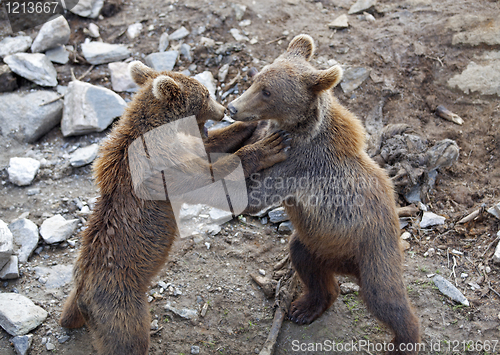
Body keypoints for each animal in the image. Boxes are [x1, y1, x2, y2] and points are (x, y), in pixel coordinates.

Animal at [61, 62, 290, 355]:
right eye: (206, 94)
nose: (223, 109)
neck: (163, 129)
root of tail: (85, 298)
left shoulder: (183, 146)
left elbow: (211, 145)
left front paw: (252, 123)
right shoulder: (163, 162)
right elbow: (207, 176)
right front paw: (269, 146)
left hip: (81, 292)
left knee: (68, 312)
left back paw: (68, 319)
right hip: (120, 308)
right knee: (129, 338)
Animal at [229, 34, 422, 354]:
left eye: (268, 91)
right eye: (255, 80)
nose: (232, 107)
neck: (300, 129)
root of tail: (348, 268)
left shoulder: (299, 164)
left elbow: (253, 195)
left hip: (372, 248)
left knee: (385, 296)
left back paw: (403, 339)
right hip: (318, 241)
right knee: (307, 264)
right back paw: (305, 307)